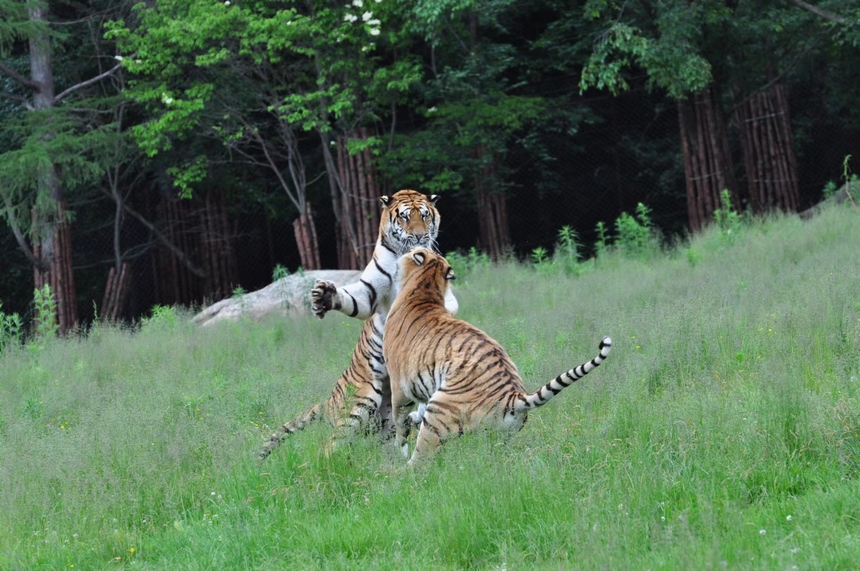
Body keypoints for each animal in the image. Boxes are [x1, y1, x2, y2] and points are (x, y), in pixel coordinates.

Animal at [256, 191, 456, 460]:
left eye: (425, 216)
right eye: (405, 217)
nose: (419, 236)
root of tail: (329, 400)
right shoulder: (370, 292)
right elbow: (357, 299)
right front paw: (326, 297)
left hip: (386, 416)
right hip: (362, 399)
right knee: (331, 445)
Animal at [382, 248, 612, 466]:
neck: (426, 287)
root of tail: (513, 396)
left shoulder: (399, 386)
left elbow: (398, 418)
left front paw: (399, 446)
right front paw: (413, 419)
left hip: (439, 412)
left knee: (420, 460)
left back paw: (398, 470)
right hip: (496, 438)